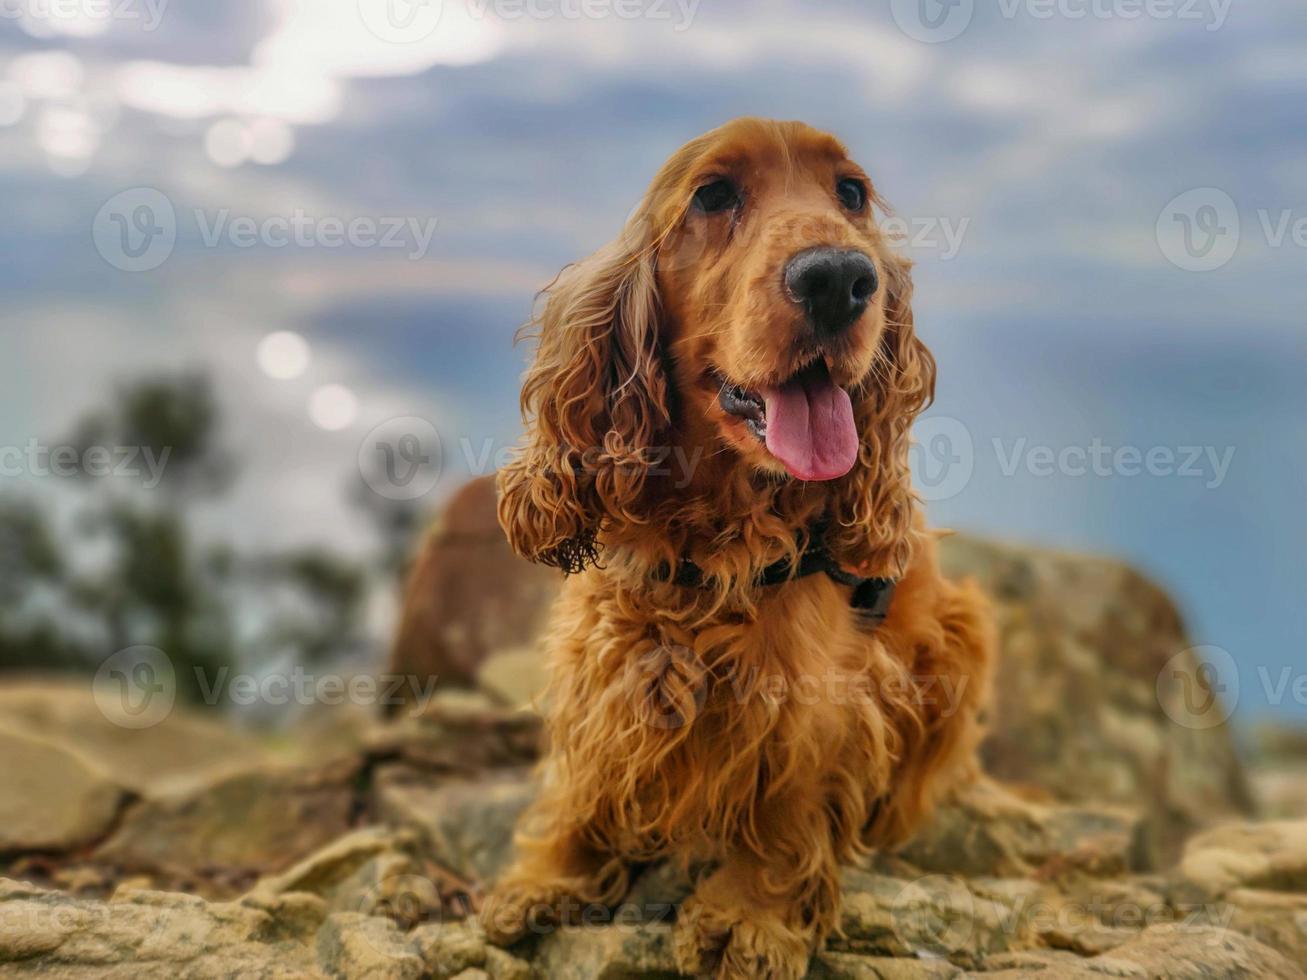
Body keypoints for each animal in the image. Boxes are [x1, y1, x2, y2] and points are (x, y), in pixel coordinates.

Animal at [480, 118, 988, 977]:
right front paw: (552, 875)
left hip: (962, 630)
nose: (838, 278)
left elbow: (787, 800)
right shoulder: (604, 657)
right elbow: (585, 775)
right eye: (714, 195)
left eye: (850, 193)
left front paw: (748, 918)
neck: (712, 542)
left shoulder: (820, 694)